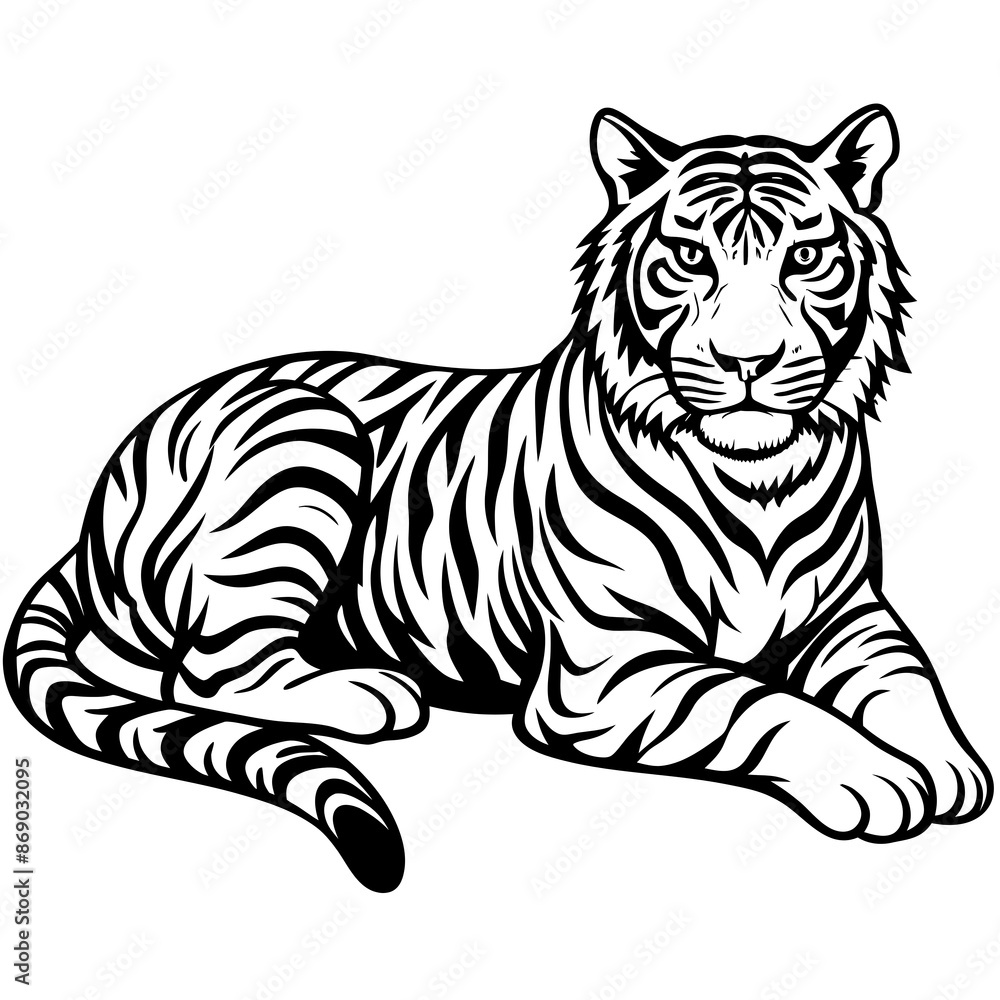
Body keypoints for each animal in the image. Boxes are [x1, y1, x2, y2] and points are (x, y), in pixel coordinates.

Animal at [5, 104, 991, 892]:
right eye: (689, 259)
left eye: (806, 258)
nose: (747, 362)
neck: (757, 480)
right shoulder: (608, 668)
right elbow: (757, 706)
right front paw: (873, 776)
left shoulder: (850, 613)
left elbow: (907, 676)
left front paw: (949, 763)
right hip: (308, 431)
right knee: (212, 672)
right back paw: (370, 694)